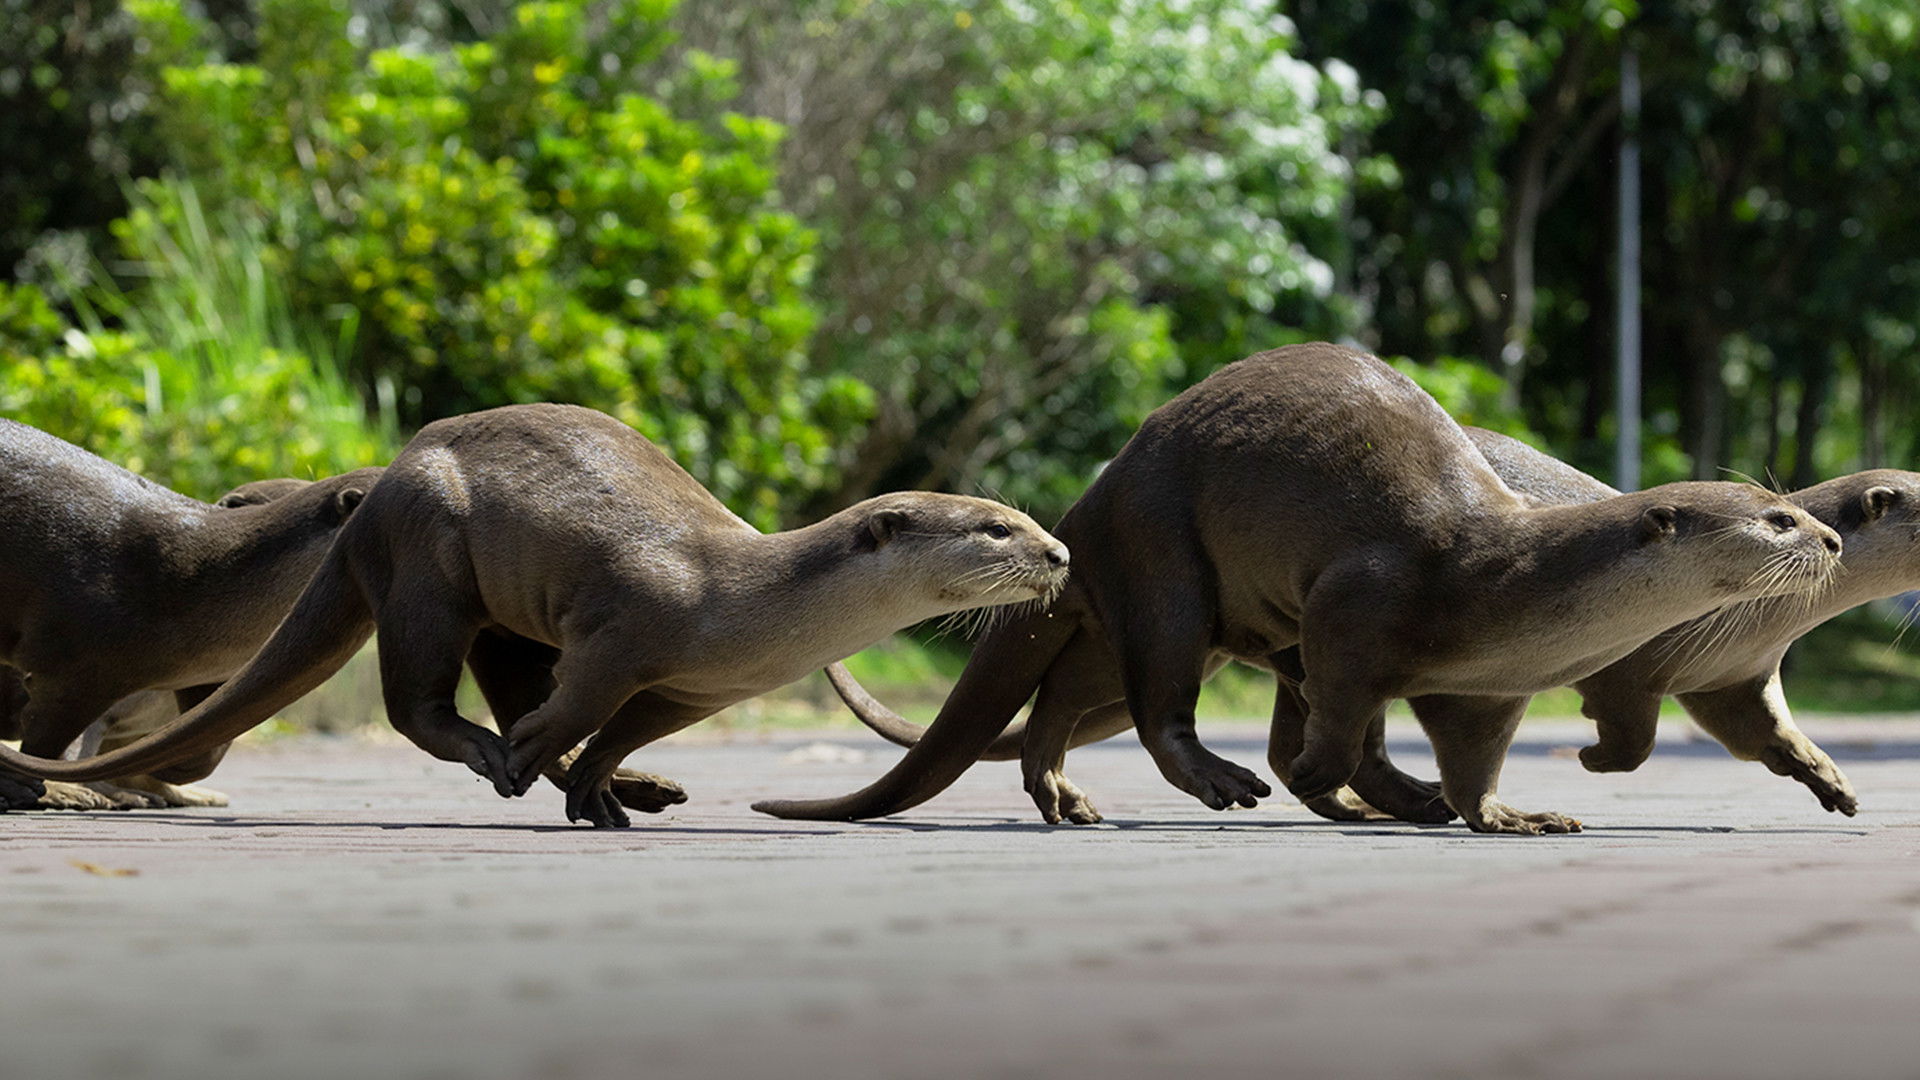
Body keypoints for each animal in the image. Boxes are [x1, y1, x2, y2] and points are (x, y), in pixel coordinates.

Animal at [0, 404, 1070, 827]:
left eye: (1024, 521)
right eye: (993, 528)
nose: (1060, 555)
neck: (739, 603)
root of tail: (388, 484)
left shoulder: (699, 689)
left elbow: (626, 725)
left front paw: (601, 779)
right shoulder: (627, 631)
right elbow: (584, 704)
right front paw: (540, 762)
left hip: (504, 617)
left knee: (510, 693)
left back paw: (627, 793)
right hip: (432, 560)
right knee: (419, 704)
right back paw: (495, 753)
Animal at [755, 344, 1841, 834]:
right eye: (1775, 520)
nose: (1831, 536)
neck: (1505, 579)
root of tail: (1087, 505)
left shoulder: (1487, 690)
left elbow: (1472, 761)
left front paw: (1505, 815)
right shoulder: (1359, 600)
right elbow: (1345, 702)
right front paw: (1329, 774)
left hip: (1166, 616)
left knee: (1068, 695)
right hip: (1165, 564)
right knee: (1161, 703)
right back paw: (1236, 782)